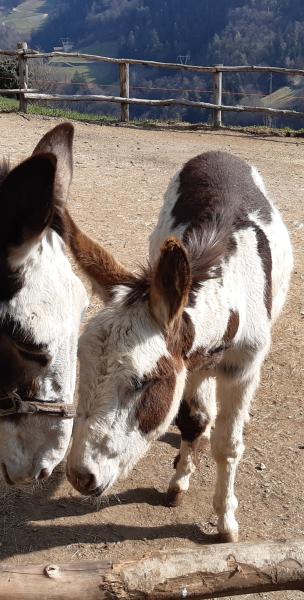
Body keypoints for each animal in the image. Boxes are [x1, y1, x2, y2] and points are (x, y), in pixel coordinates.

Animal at [65, 151, 290, 544]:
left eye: (144, 382)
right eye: (82, 367)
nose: (80, 477)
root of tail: (218, 152)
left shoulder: (242, 368)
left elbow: (228, 446)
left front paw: (226, 521)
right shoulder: (187, 364)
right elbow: (192, 421)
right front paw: (179, 483)